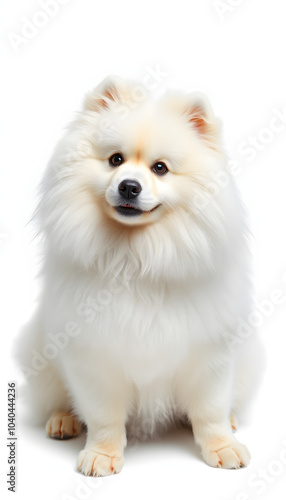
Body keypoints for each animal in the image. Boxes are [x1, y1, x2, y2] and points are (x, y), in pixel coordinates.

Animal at [17, 75, 264, 476]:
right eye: (115, 160)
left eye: (160, 168)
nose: (129, 186)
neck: (136, 258)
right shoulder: (93, 355)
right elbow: (103, 417)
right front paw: (102, 454)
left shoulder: (209, 352)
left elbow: (210, 409)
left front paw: (221, 445)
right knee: (56, 398)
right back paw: (63, 419)